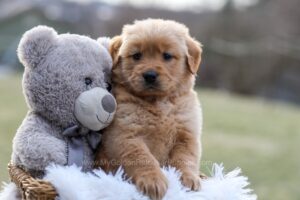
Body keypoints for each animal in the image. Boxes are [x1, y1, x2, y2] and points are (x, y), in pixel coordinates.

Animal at [96, 18, 203, 198]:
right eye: (136, 55)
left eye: (167, 56)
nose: (150, 75)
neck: (159, 103)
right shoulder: (126, 135)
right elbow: (143, 158)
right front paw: (153, 181)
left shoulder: (186, 135)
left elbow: (185, 158)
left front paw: (188, 178)